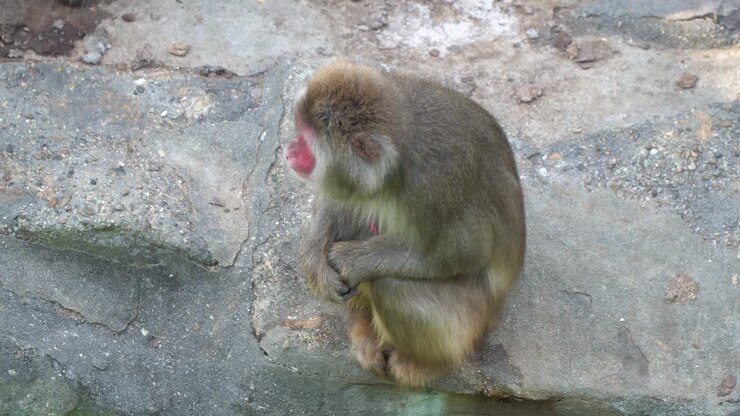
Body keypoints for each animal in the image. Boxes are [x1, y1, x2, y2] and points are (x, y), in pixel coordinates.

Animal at [285, 61, 525, 387]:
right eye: (299, 128)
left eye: (307, 138)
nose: (289, 149)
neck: (394, 166)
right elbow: (342, 202)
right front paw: (314, 260)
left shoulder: (434, 186)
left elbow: (466, 253)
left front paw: (352, 260)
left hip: (473, 319)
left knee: (390, 284)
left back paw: (431, 363)